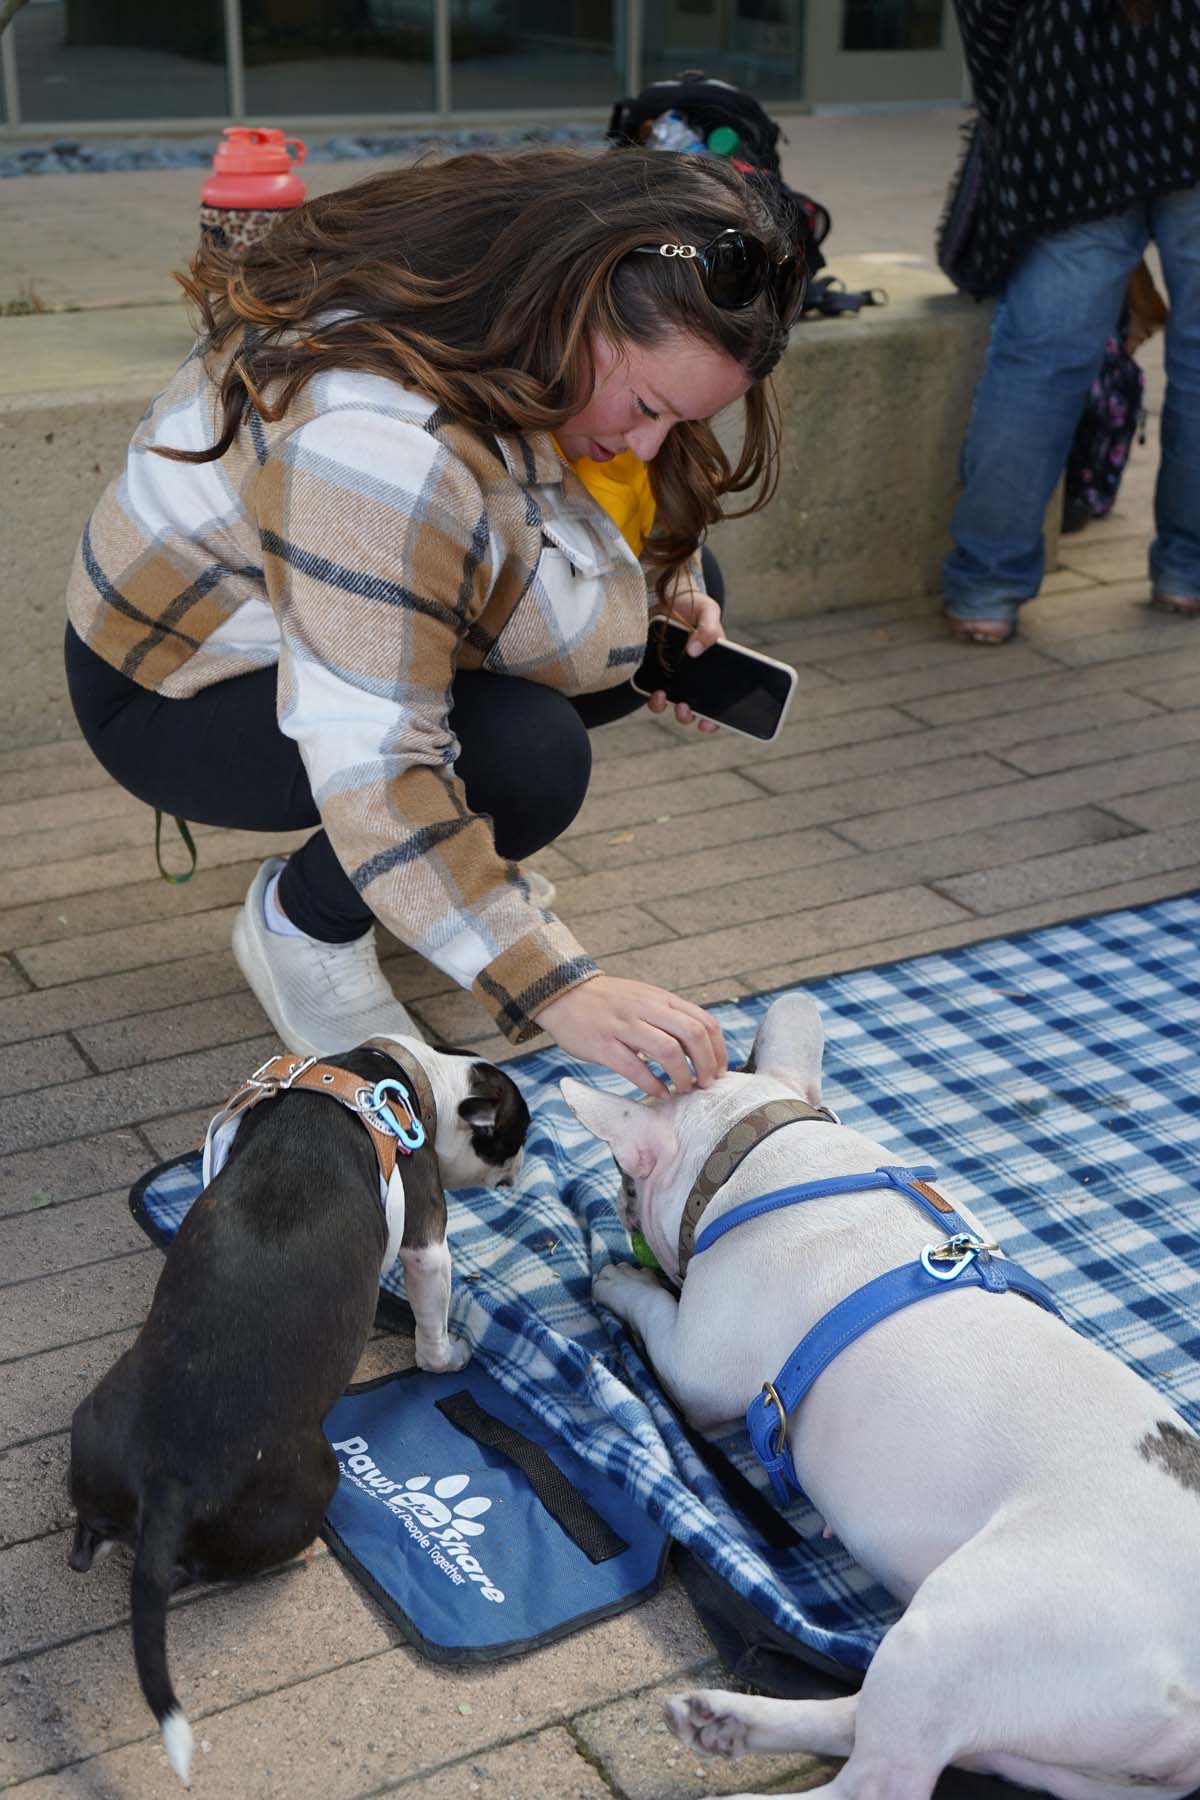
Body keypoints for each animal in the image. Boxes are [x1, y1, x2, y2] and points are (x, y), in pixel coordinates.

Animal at [67, 1036, 528, 1778]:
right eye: (516, 1135)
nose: (523, 1168)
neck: (404, 1076)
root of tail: (169, 1477)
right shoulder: (426, 1236)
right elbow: (432, 1315)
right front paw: (447, 1355)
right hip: (312, 1480)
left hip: (97, 1429)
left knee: (91, 1540)